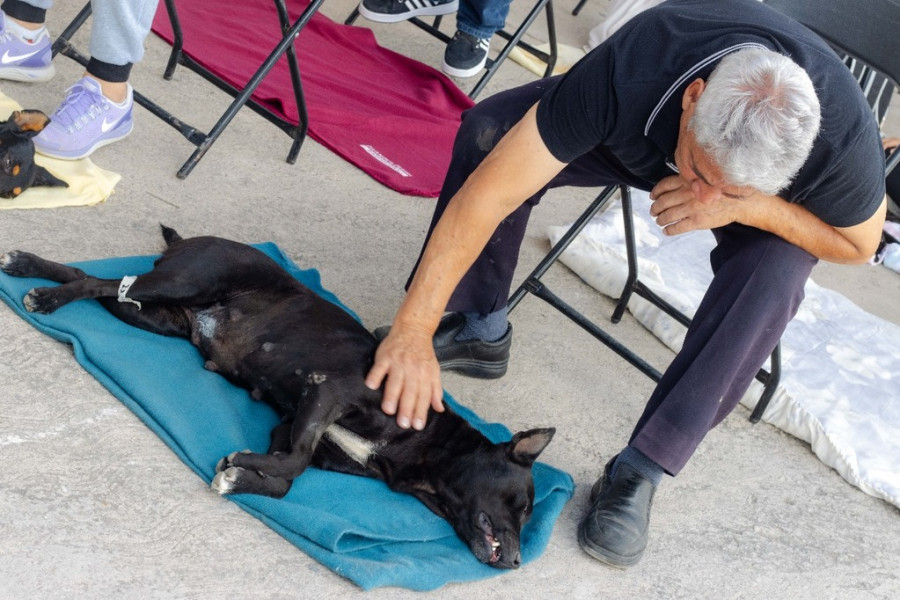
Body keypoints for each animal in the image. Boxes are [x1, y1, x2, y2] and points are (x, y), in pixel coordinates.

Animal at [0, 227, 556, 568]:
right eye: (525, 505)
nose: (515, 562)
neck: (425, 445)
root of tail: (194, 239)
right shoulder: (326, 394)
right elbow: (293, 465)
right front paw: (240, 466)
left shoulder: (291, 424)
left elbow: (288, 477)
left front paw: (242, 476)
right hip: (183, 281)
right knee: (99, 280)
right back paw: (42, 291)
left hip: (154, 314)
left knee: (98, 282)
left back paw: (31, 270)